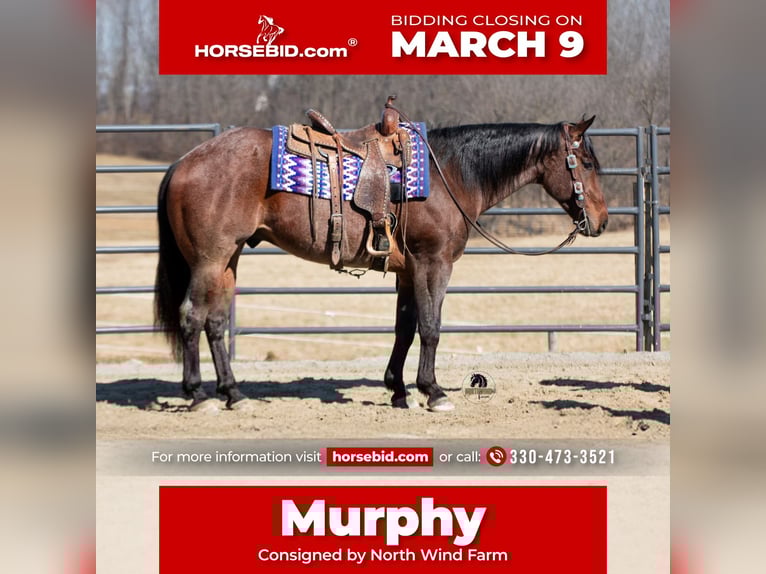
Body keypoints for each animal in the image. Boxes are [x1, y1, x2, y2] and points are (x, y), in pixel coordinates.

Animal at [154, 113, 608, 412]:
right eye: (586, 163)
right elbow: (430, 327)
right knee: (192, 317)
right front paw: (433, 391)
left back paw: (233, 394)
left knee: (215, 323)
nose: (601, 221)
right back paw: (197, 395)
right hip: (209, 260)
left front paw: (398, 390)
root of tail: (184, 162)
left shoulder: (407, 273)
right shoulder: (432, 263)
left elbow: (404, 329)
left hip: (227, 260)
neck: (451, 175)